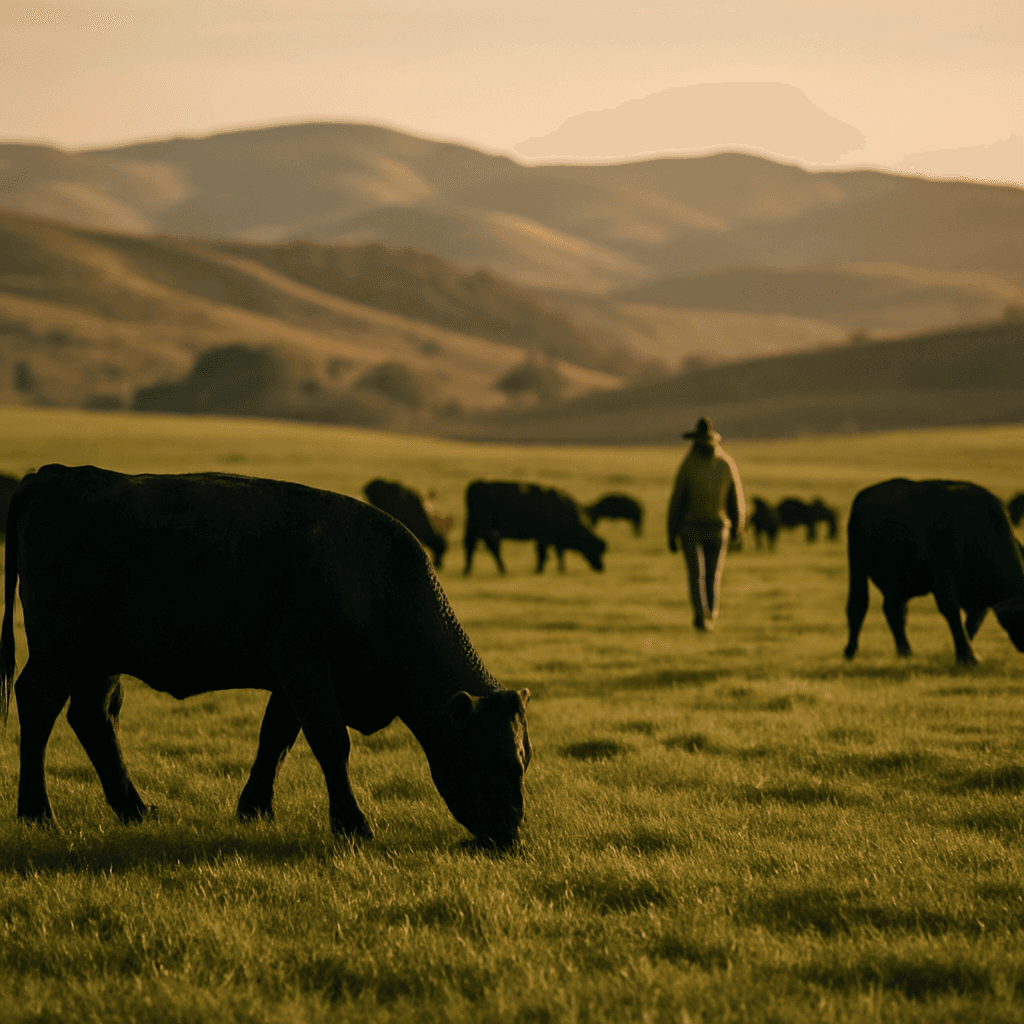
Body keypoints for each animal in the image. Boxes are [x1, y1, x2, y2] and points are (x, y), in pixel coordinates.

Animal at [0, 464, 531, 847]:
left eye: (524, 759)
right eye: (501, 758)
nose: (510, 835)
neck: (378, 582)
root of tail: (53, 474)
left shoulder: (290, 678)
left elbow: (275, 737)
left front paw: (255, 808)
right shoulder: (307, 666)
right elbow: (330, 742)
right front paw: (352, 824)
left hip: (100, 659)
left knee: (93, 716)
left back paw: (134, 808)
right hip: (58, 648)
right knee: (38, 706)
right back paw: (37, 813)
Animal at [464, 480, 606, 575]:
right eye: (596, 548)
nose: (601, 567)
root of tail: (477, 484)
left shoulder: (550, 540)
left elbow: (556, 553)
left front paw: (560, 568)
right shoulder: (544, 537)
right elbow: (543, 553)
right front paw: (539, 569)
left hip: (473, 527)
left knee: (471, 545)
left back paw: (468, 570)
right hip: (485, 529)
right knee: (491, 547)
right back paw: (502, 570)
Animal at [844, 478, 1024, 665]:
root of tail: (864, 495)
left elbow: (974, 621)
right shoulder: (942, 576)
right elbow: (952, 611)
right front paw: (967, 656)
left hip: (897, 582)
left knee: (894, 610)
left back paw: (905, 651)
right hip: (857, 566)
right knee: (858, 605)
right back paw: (850, 651)